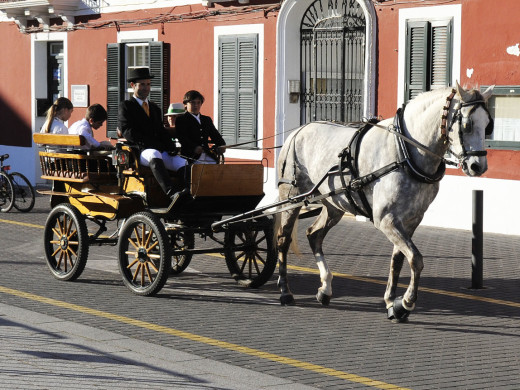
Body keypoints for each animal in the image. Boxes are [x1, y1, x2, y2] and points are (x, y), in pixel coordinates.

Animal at [274, 84, 494, 322]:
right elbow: (415, 259)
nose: (478, 166)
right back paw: (285, 292)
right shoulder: (386, 219)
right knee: (283, 239)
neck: (405, 153)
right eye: (467, 124)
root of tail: (298, 131)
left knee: (314, 235)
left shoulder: (411, 220)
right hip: (291, 197)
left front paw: (391, 302)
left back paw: (325, 289)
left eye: (488, 125)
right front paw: (405, 303)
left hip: (334, 204)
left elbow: (398, 259)